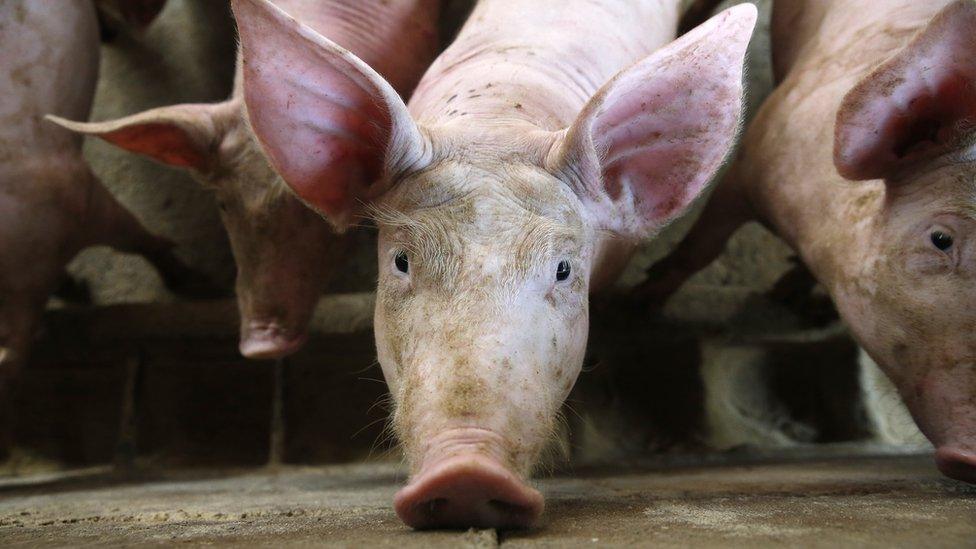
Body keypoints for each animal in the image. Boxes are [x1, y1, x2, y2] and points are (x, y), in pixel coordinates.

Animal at [636, 0, 976, 480]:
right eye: (941, 239)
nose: (973, 457)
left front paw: (790, 299)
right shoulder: (754, 158)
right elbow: (702, 248)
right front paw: (639, 306)